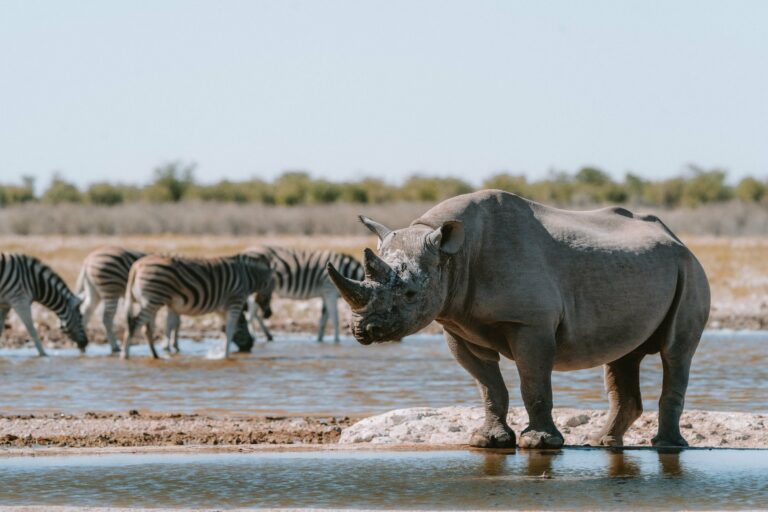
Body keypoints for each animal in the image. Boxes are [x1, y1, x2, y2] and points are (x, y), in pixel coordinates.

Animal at [77, 246, 256, 353]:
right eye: (242, 324)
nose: (250, 346)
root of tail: (87, 260)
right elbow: (173, 323)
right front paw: (169, 345)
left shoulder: (175, 302)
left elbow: (175, 322)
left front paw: (173, 345)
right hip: (110, 289)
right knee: (107, 318)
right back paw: (114, 346)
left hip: (95, 291)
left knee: (86, 312)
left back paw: (80, 341)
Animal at [122, 252, 275, 359]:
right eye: (271, 290)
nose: (250, 346)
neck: (248, 277)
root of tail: (136, 266)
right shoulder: (235, 300)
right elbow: (231, 329)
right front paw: (225, 356)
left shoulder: (222, 307)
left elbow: (224, 328)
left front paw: (221, 353)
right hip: (153, 299)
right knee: (134, 324)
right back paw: (125, 355)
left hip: (150, 302)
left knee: (146, 329)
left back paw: (155, 355)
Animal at [328, 190, 710, 449]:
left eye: (409, 294)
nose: (364, 330)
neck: (453, 256)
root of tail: (677, 238)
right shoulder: (457, 325)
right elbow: (488, 385)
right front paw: (488, 441)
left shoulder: (531, 324)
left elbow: (533, 382)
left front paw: (539, 443)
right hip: (643, 269)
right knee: (622, 357)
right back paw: (602, 442)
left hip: (689, 269)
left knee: (675, 353)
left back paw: (666, 446)